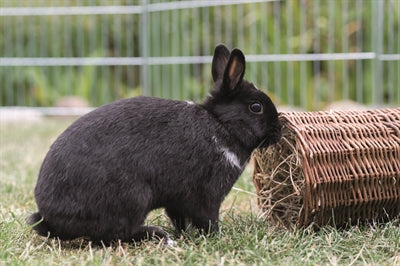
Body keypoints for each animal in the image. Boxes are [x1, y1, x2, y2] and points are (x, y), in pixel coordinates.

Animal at [28, 43, 280, 243]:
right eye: (256, 107)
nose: (278, 130)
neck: (221, 124)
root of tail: (53, 218)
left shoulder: (177, 200)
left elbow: (180, 218)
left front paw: (185, 234)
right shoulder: (207, 195)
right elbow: (207, 219)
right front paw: (216, 236)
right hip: (134, 197)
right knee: (114, 235)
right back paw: (155, 234)